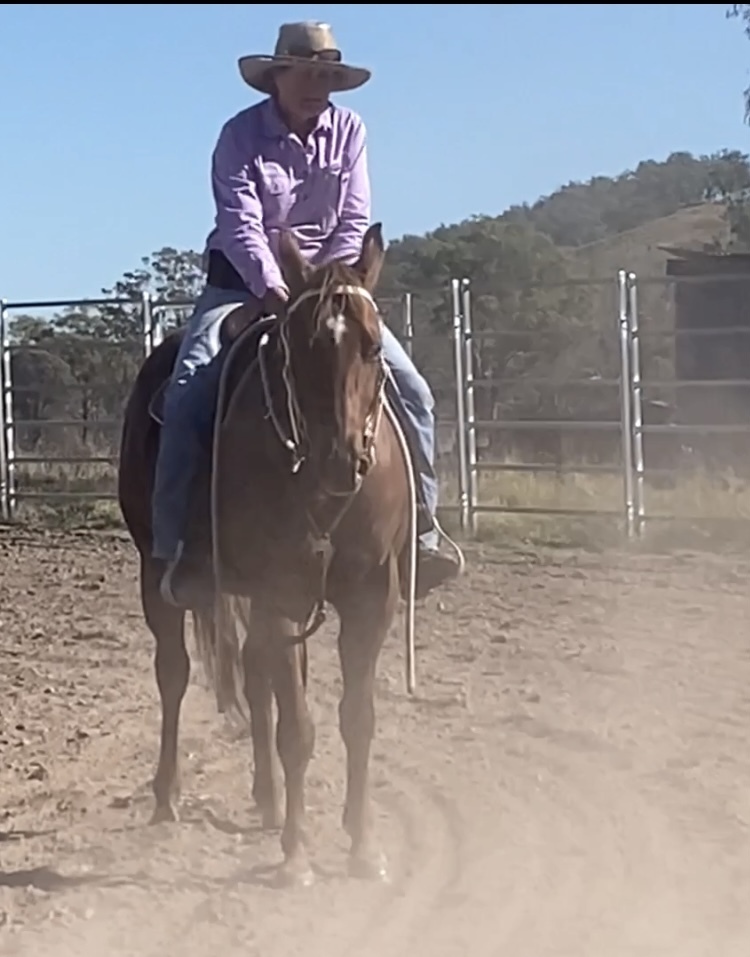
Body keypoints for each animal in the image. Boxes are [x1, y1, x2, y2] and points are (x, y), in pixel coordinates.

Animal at [118, 223, 417, 887]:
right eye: (295, 352)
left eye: (372, 347)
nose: (340, 461)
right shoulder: (284, 593)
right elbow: (298, 729)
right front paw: (297, 854)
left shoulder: (370, 598)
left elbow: (357, 718)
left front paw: (363, 846)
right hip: (156, 571)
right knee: (174, 672)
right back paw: (168, 796)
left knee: (255, 681)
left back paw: (268, 798)